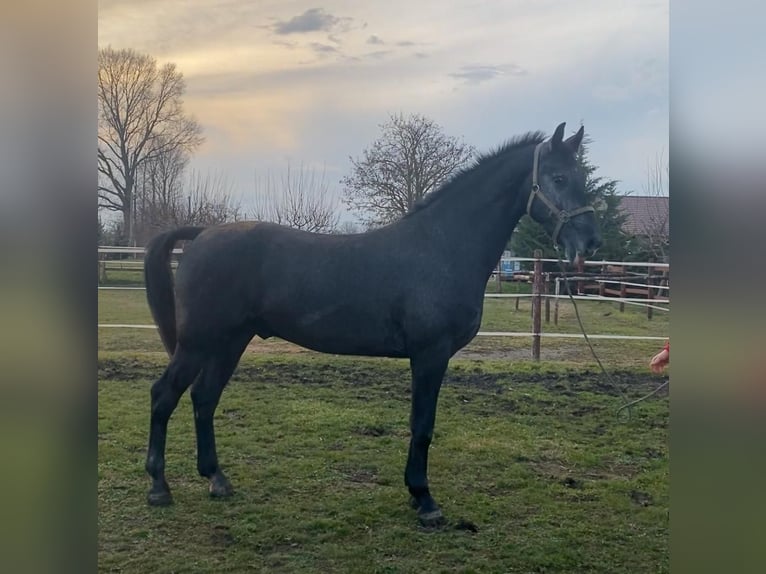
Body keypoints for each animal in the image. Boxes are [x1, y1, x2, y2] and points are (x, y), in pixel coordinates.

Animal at [142, 124, 600, 528]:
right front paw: (424, 500)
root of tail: (203, 234)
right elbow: (422, 426)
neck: (442, 246)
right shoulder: (430, 354)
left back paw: (217, 479)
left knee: (204, 398)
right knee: (164, 395)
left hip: (230, 342)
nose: (589, 243)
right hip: (198, 342)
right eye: (558, 177)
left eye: (581, 177)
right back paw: (159, 488)